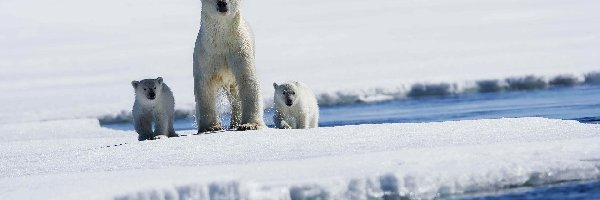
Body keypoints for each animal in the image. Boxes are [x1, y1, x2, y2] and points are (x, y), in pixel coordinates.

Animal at [195, 0, 264, 133]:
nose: (222, 3)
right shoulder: (206, 55)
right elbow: (205, 85)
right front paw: (210, 127)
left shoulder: (239, 50)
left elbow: (248, 80)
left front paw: (249, 124)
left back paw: (235, 123)